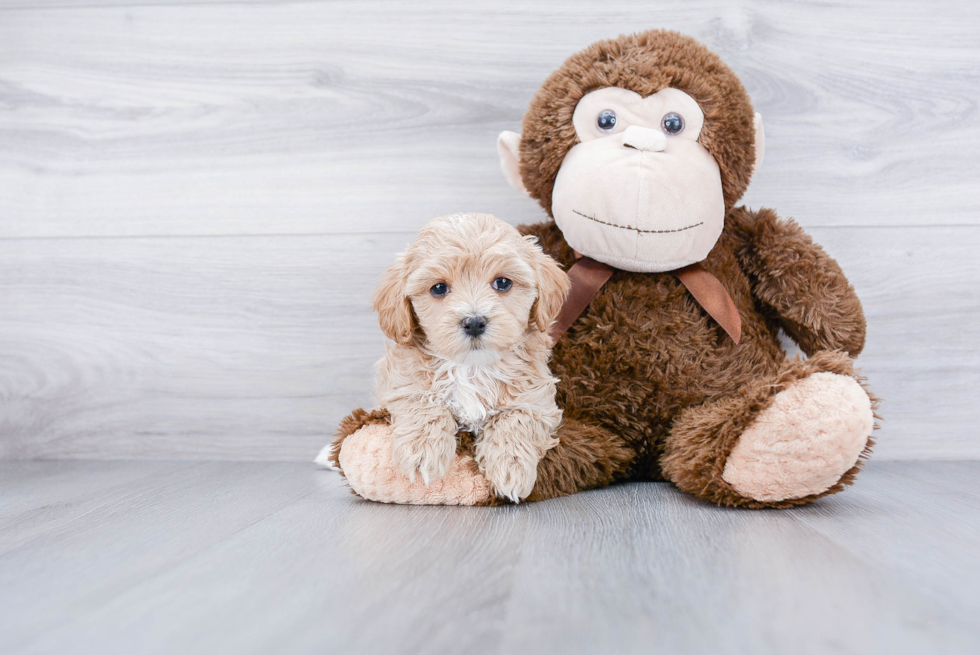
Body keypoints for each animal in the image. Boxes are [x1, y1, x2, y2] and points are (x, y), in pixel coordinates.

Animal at [374, 214, 576, 502]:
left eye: (502, 283)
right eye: (438, 288)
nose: (474, 322)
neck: (471, 368)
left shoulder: (535, 399)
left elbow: (515, 420)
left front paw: (511, 467)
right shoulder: (400, 382)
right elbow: (423, 401)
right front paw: (422, 450)